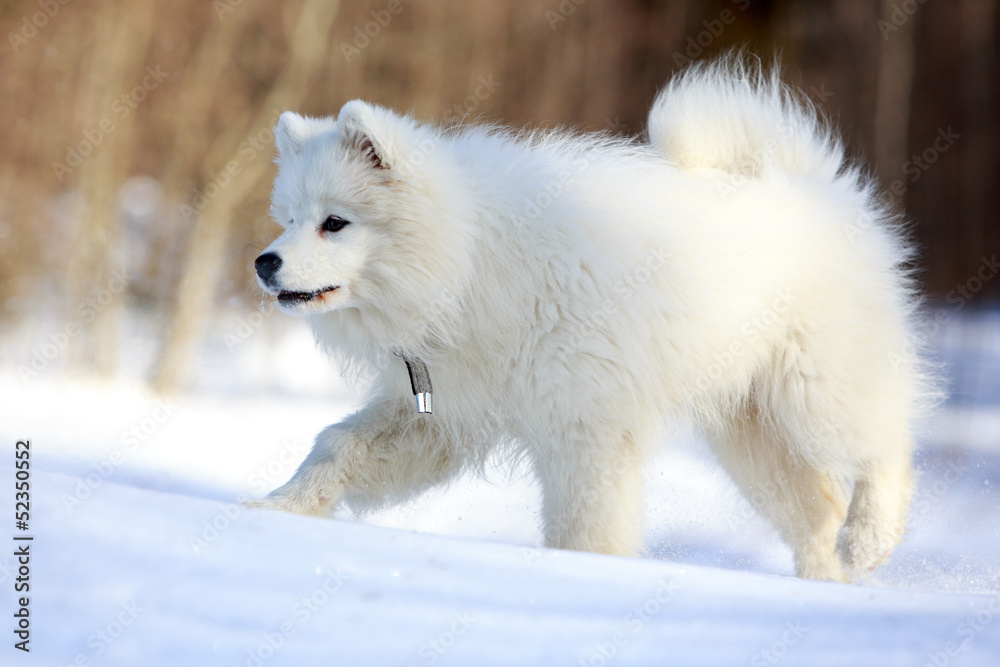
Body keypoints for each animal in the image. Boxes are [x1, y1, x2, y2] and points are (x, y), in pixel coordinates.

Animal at [248, 57, 936, 580]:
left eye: (335, 222)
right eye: (289, 218)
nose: (263, 262)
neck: (468, 263)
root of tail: (817, 186)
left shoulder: (585, 428)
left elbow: (583, 526)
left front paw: (583, 575)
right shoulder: (442, 410)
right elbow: (336, 446)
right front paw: (276, 507)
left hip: (817, 390)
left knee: (885, 446)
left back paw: (870, 539)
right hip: (751, 433)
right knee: (816, 511)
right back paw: (825, 584)